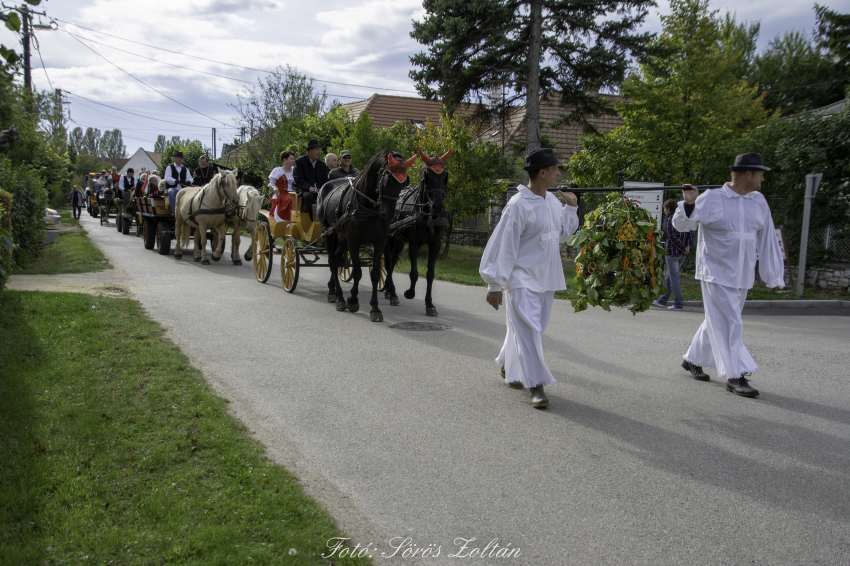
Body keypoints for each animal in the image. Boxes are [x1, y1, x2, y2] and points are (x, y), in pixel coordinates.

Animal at [316, 149, 416, 322]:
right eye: (386, 179)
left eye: (404, 182)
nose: (388, 214)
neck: (368, 206)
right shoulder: (354, 240)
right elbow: (357, 271)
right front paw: (352, 300)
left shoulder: (380, 240)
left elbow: (375, 273)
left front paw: (375, 308)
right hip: (329, 231)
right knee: (332, 261)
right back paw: (340, 298)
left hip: (343, 237)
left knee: (337, 258)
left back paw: (332, 290)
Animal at [384, 151, 450, 318]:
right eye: (427, 177)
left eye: (445, 176)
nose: (438, 205)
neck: (428, 216)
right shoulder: (414, 243)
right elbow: (414, 273)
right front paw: (409, 293)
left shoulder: (435, 244)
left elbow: (430, 274)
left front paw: (429, 304)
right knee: (388, 262)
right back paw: (392, 292)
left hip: (398, 240)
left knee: (392, 261)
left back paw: (389, 291)